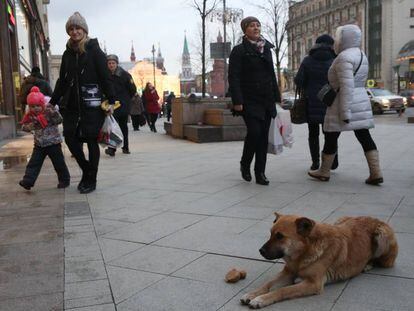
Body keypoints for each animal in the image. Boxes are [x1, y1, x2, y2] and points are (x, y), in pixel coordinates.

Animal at [241, 214, 396, 310]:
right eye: (271, 234)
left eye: (280, 236)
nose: (260, 251)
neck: (304, 253)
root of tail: (375, 218)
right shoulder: (288, 273)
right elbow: (268, 284)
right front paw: (252, 294)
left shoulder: (313, 284)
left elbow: (283, 290)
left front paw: (261, 299)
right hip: (340, 220)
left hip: (382, 236)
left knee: (383, 261)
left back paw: (368, 264)